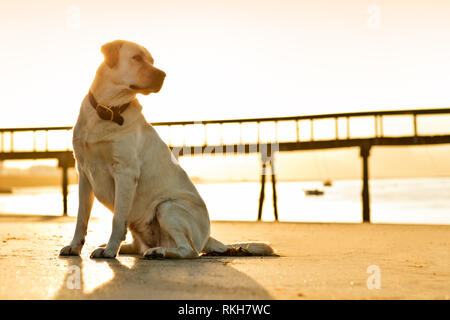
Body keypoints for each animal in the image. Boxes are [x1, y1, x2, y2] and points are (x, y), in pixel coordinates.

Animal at [58, 40, 272, 260]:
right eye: (137, 58)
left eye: (152, 61)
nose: (163, 75)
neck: (108, 110)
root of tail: (208, 237)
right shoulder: (84, 173)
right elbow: (81, 219)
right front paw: (74, 247)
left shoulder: (125, 173)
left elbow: (117, 219)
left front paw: (110, 250)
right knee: (139, 244)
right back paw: (127, 248)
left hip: (167, 207)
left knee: (189, 250)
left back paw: (157, 251)